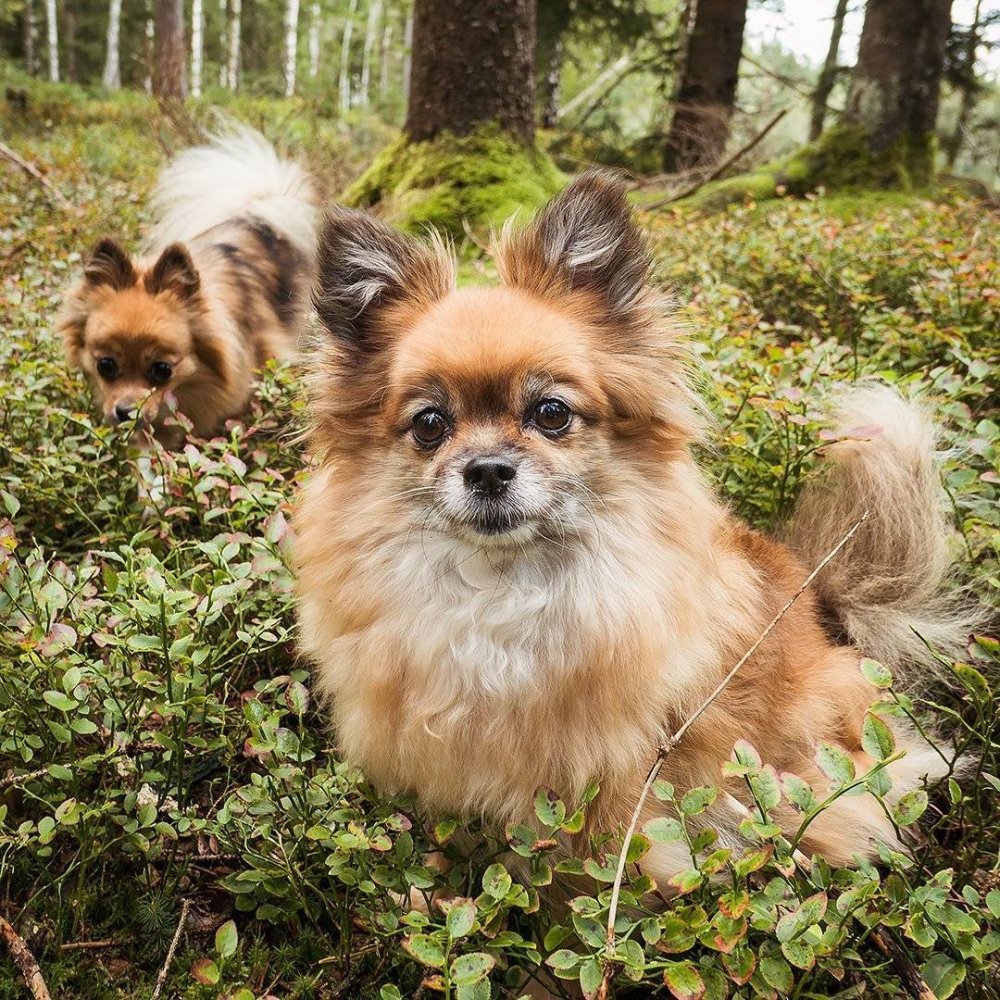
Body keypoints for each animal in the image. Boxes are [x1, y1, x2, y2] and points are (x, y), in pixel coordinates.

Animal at [298, 172, 976, 884]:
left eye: (551, 413)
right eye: (429, 424)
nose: (486, 469)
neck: (501, 591)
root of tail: (823, 608)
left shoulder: (615, 771)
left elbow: (606, 855)